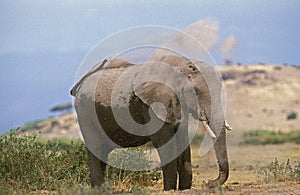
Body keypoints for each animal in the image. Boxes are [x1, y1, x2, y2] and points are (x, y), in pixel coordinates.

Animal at [71, 54, 232, 190]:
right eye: (195, 92)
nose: (209, 182)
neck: (177, 66)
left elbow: (183, 143)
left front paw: (184, 189)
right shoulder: (151, 105)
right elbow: (165, 144)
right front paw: (169, 190)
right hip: (84, 111)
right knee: (95, 148)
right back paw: (101, 189)